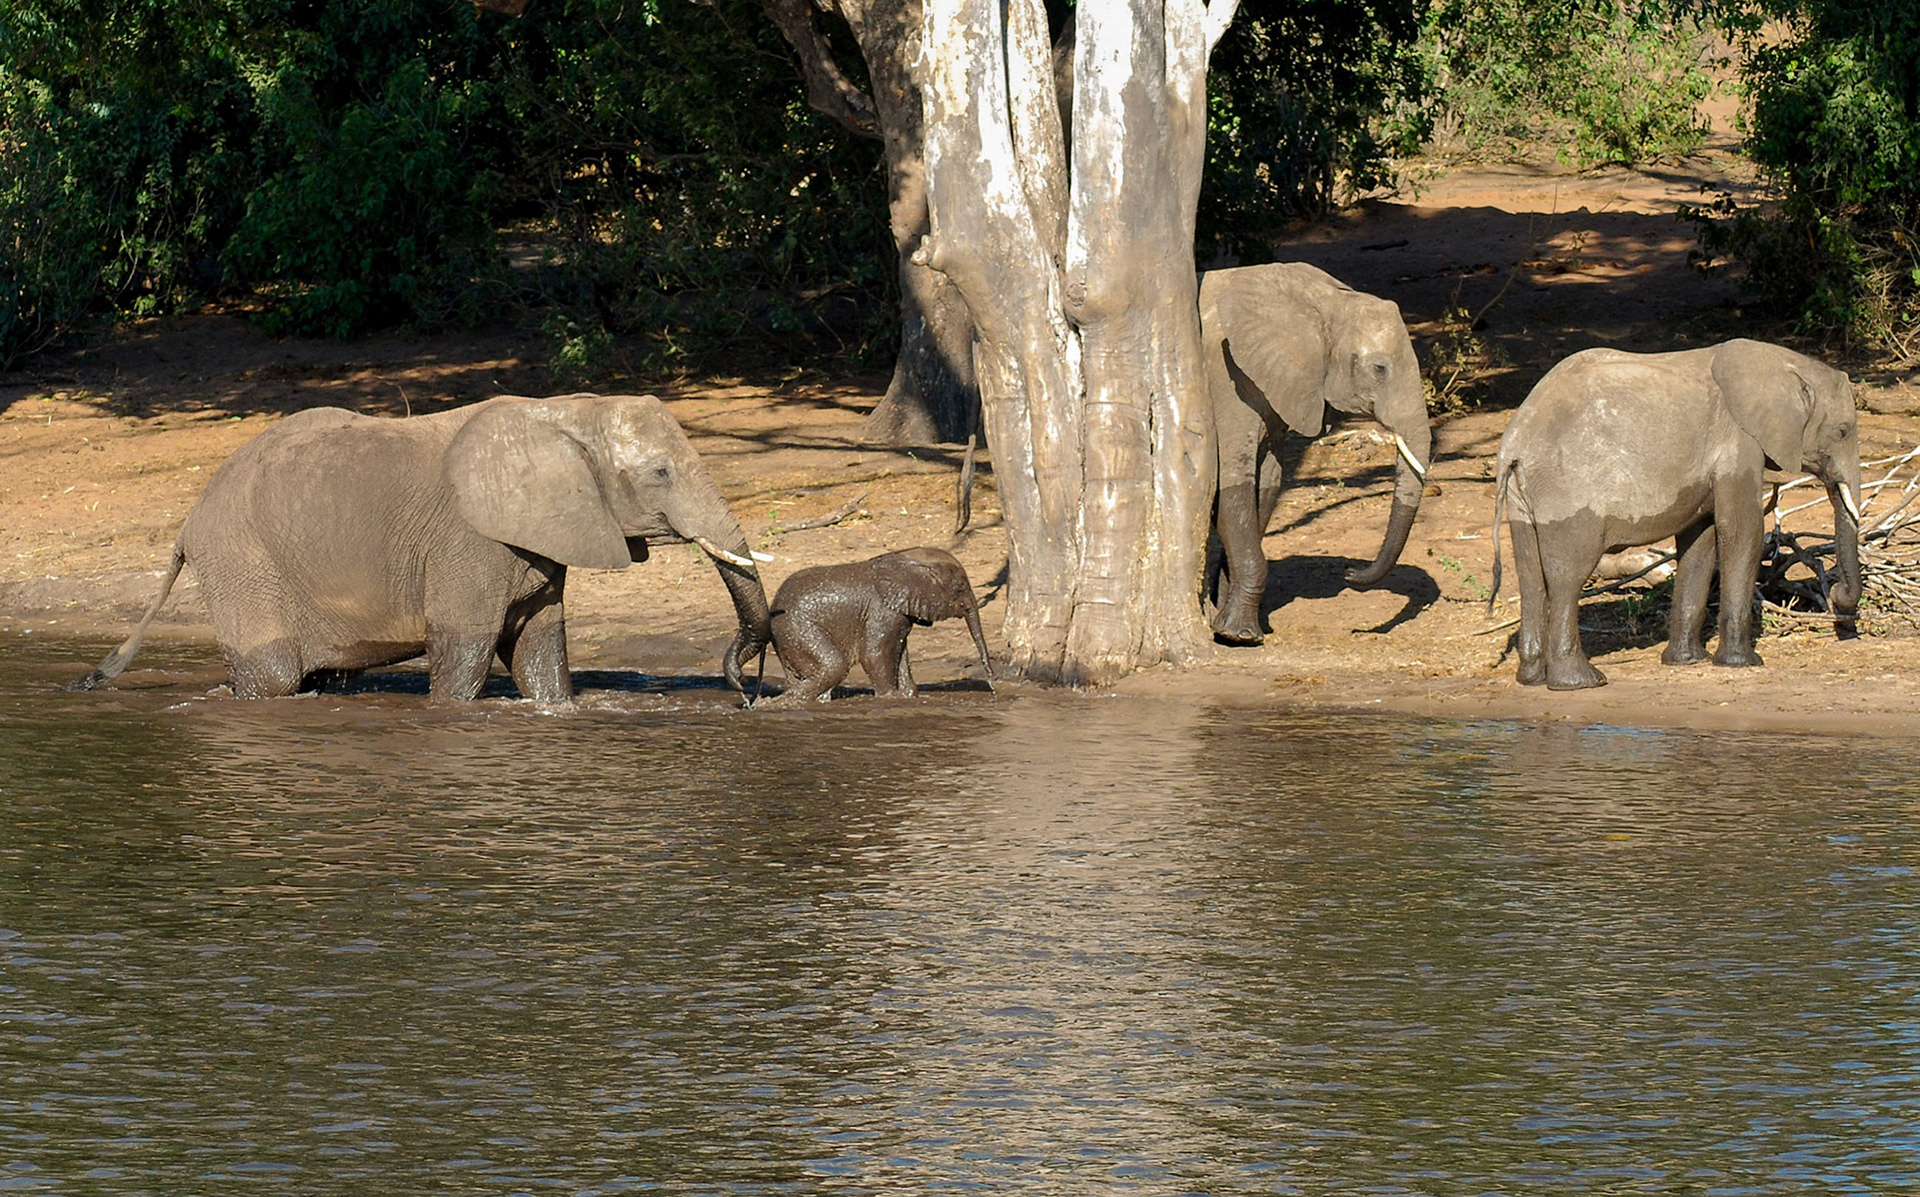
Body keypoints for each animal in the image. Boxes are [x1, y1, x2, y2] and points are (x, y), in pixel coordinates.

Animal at [72, 393, 772, 702]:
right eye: (660, 473)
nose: (745, 687)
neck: (564, 413)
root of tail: (189, 521)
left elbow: (540, 651)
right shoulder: (470, 540)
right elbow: (465, 649)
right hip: (241, 560)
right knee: (272, 677)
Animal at [761, 547, 993, 704]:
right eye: (961, 587)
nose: (992, 680)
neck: (905, 558)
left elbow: (901, 655)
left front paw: (910, 697)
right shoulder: (881, 611)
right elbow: (874, 654)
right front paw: (891, 698)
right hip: (798, 629)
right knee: (834, 666)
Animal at [1199, 261, 1434, 644]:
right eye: (1379, 369)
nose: (1351, 572)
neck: (1326, 301)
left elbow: (1267, 484)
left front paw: (1224, 617)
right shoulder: (1226, 375)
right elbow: (1231, 482)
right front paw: (1240, 636)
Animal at [1491, 339, 1862, 690]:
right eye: (1842, 431)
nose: (1836, 597)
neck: (1788, 363)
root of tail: (1513, 445)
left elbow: (1700, 542)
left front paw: (1687, 661)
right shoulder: (1738, 444)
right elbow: (1741, 532)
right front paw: (1742, 663)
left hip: (1525, 494)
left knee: (1530, 575)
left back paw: (1531, 678)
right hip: (1567, 489)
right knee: (1568, 575)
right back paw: (1581, 682)